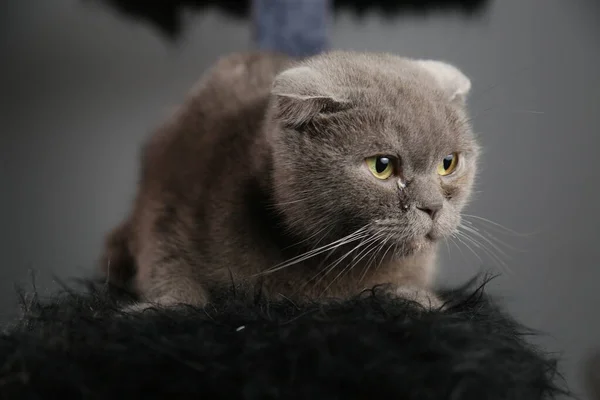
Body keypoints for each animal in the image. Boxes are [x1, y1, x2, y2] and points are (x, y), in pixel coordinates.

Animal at [101, 50, 480, 310]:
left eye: (448, 163)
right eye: (382, 166)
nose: (432, 207)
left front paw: (420, 299)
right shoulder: (171, 200)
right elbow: (169, 268)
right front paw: (156, 308)